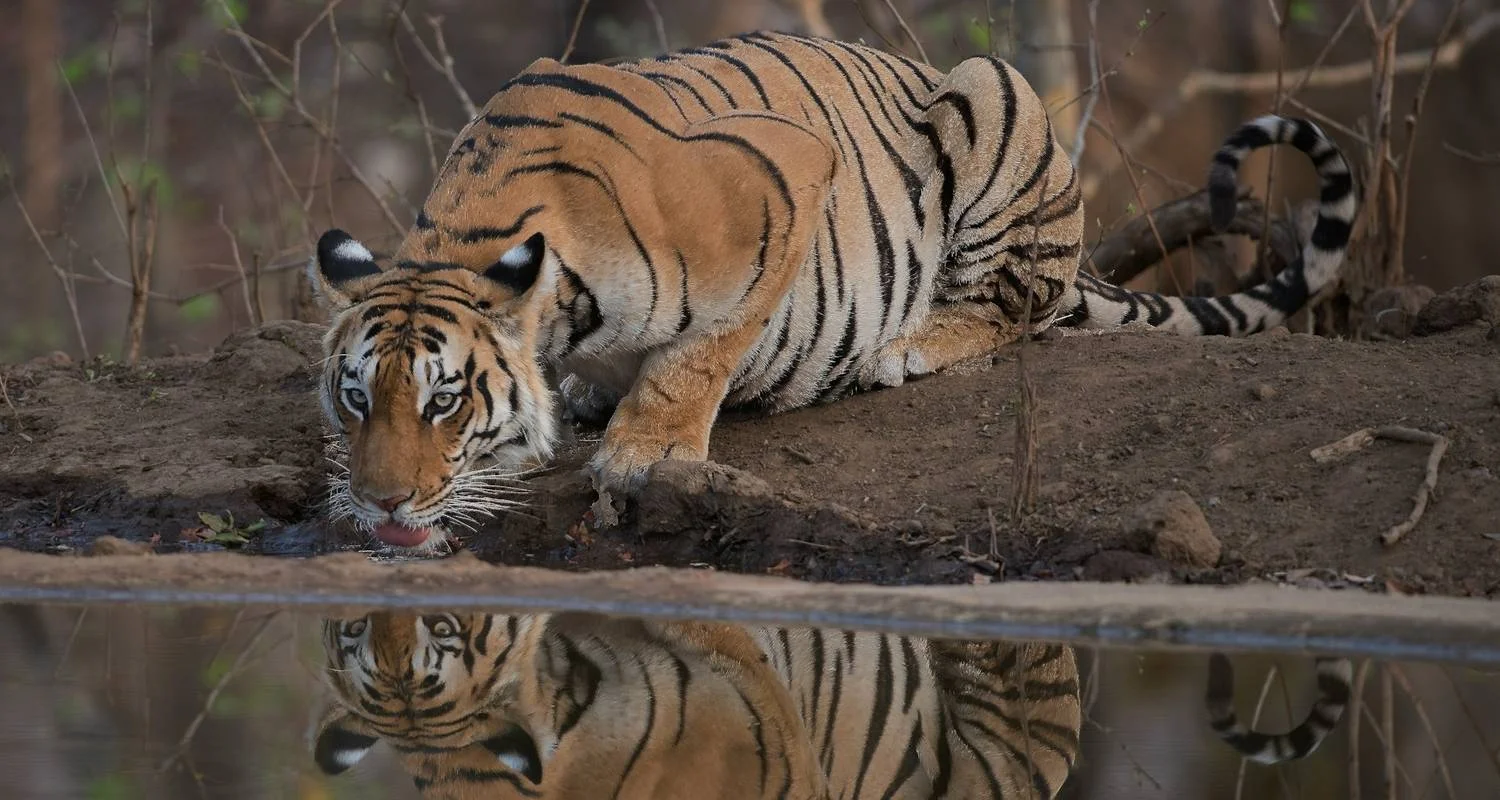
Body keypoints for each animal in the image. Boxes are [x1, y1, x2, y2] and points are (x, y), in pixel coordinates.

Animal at [307, 30, 1358, 549]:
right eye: (356, 398)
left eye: (444, 402)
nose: (380, 504)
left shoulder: (782, 178)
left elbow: (701, 353)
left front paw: (645, 451)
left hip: (993, 93)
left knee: (1018, 304)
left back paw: (909, 345)